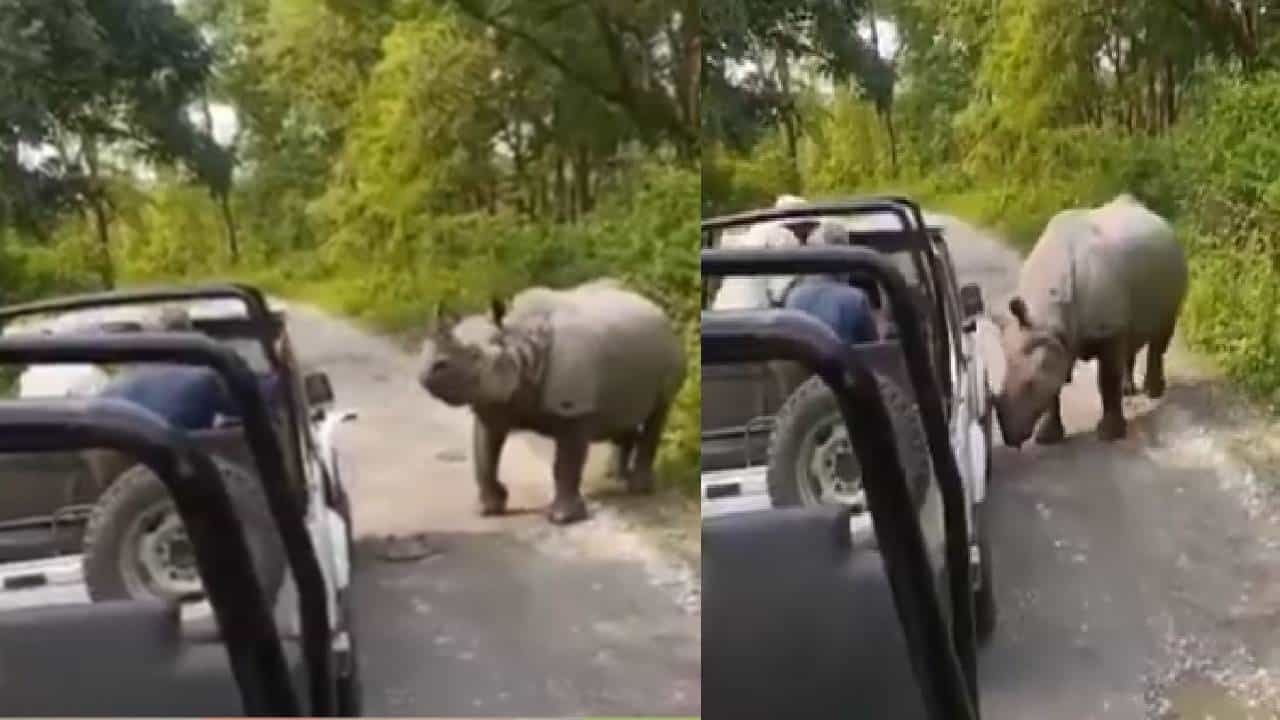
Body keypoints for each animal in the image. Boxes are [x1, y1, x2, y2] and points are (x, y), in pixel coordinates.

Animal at [418, 278, 687, 524]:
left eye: (475, 356)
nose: (427, 370)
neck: (521, 343)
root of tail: (656, 308)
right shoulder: (493, 401)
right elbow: (485, 455)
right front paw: (488, 509)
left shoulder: (573, 407)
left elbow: (565, 464)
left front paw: (562, 517)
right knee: (623, 416)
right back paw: (615, 477)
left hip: (671, 350)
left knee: (658, 412)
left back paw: (639, 488)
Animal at [994, 194, 1188, 447]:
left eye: (1030, 385)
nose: (1009, 436)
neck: (1050, 316)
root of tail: (1161, 220)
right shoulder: (1054, 339)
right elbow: (1054, 388)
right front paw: (1047, 438)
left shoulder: (1107, 329)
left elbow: (1106, 379)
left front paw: (1110, 434)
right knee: (1131, 336)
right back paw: (1128, 391)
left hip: (1173, 268)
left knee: (1161, 331)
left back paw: (1154, 392)